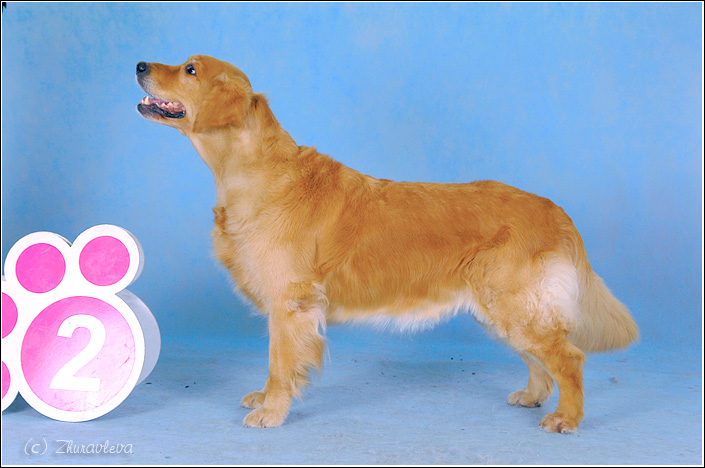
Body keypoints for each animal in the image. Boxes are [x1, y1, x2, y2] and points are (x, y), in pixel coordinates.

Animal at [136, 55, 638, 432]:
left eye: (190, 69)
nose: (139, 64)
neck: (251, 170)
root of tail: (556, 210)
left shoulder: (289, 302)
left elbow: (280, 364)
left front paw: (271, 411)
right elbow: (276, 365)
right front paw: (264, 399)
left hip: (513, 304)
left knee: (568, 357)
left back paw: (565, 418)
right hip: (500, 307)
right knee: (539, 359)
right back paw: (532, 396)